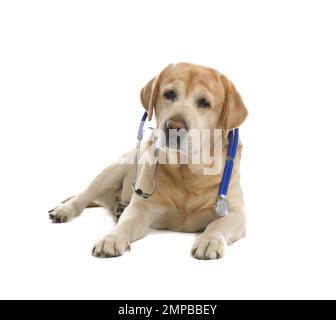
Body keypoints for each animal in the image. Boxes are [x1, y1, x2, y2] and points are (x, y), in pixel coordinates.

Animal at [48, 63, 248, 260]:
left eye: (204, 103)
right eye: (169, 94)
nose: (174, 126)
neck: (187, 170)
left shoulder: (236, 214)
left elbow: (217, 225)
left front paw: (210, 240)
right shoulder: (141, 210)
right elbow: (125, 223)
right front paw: (111, 238)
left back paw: (119, 206)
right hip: (112, 171)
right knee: (84, 196)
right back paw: (65, 210)